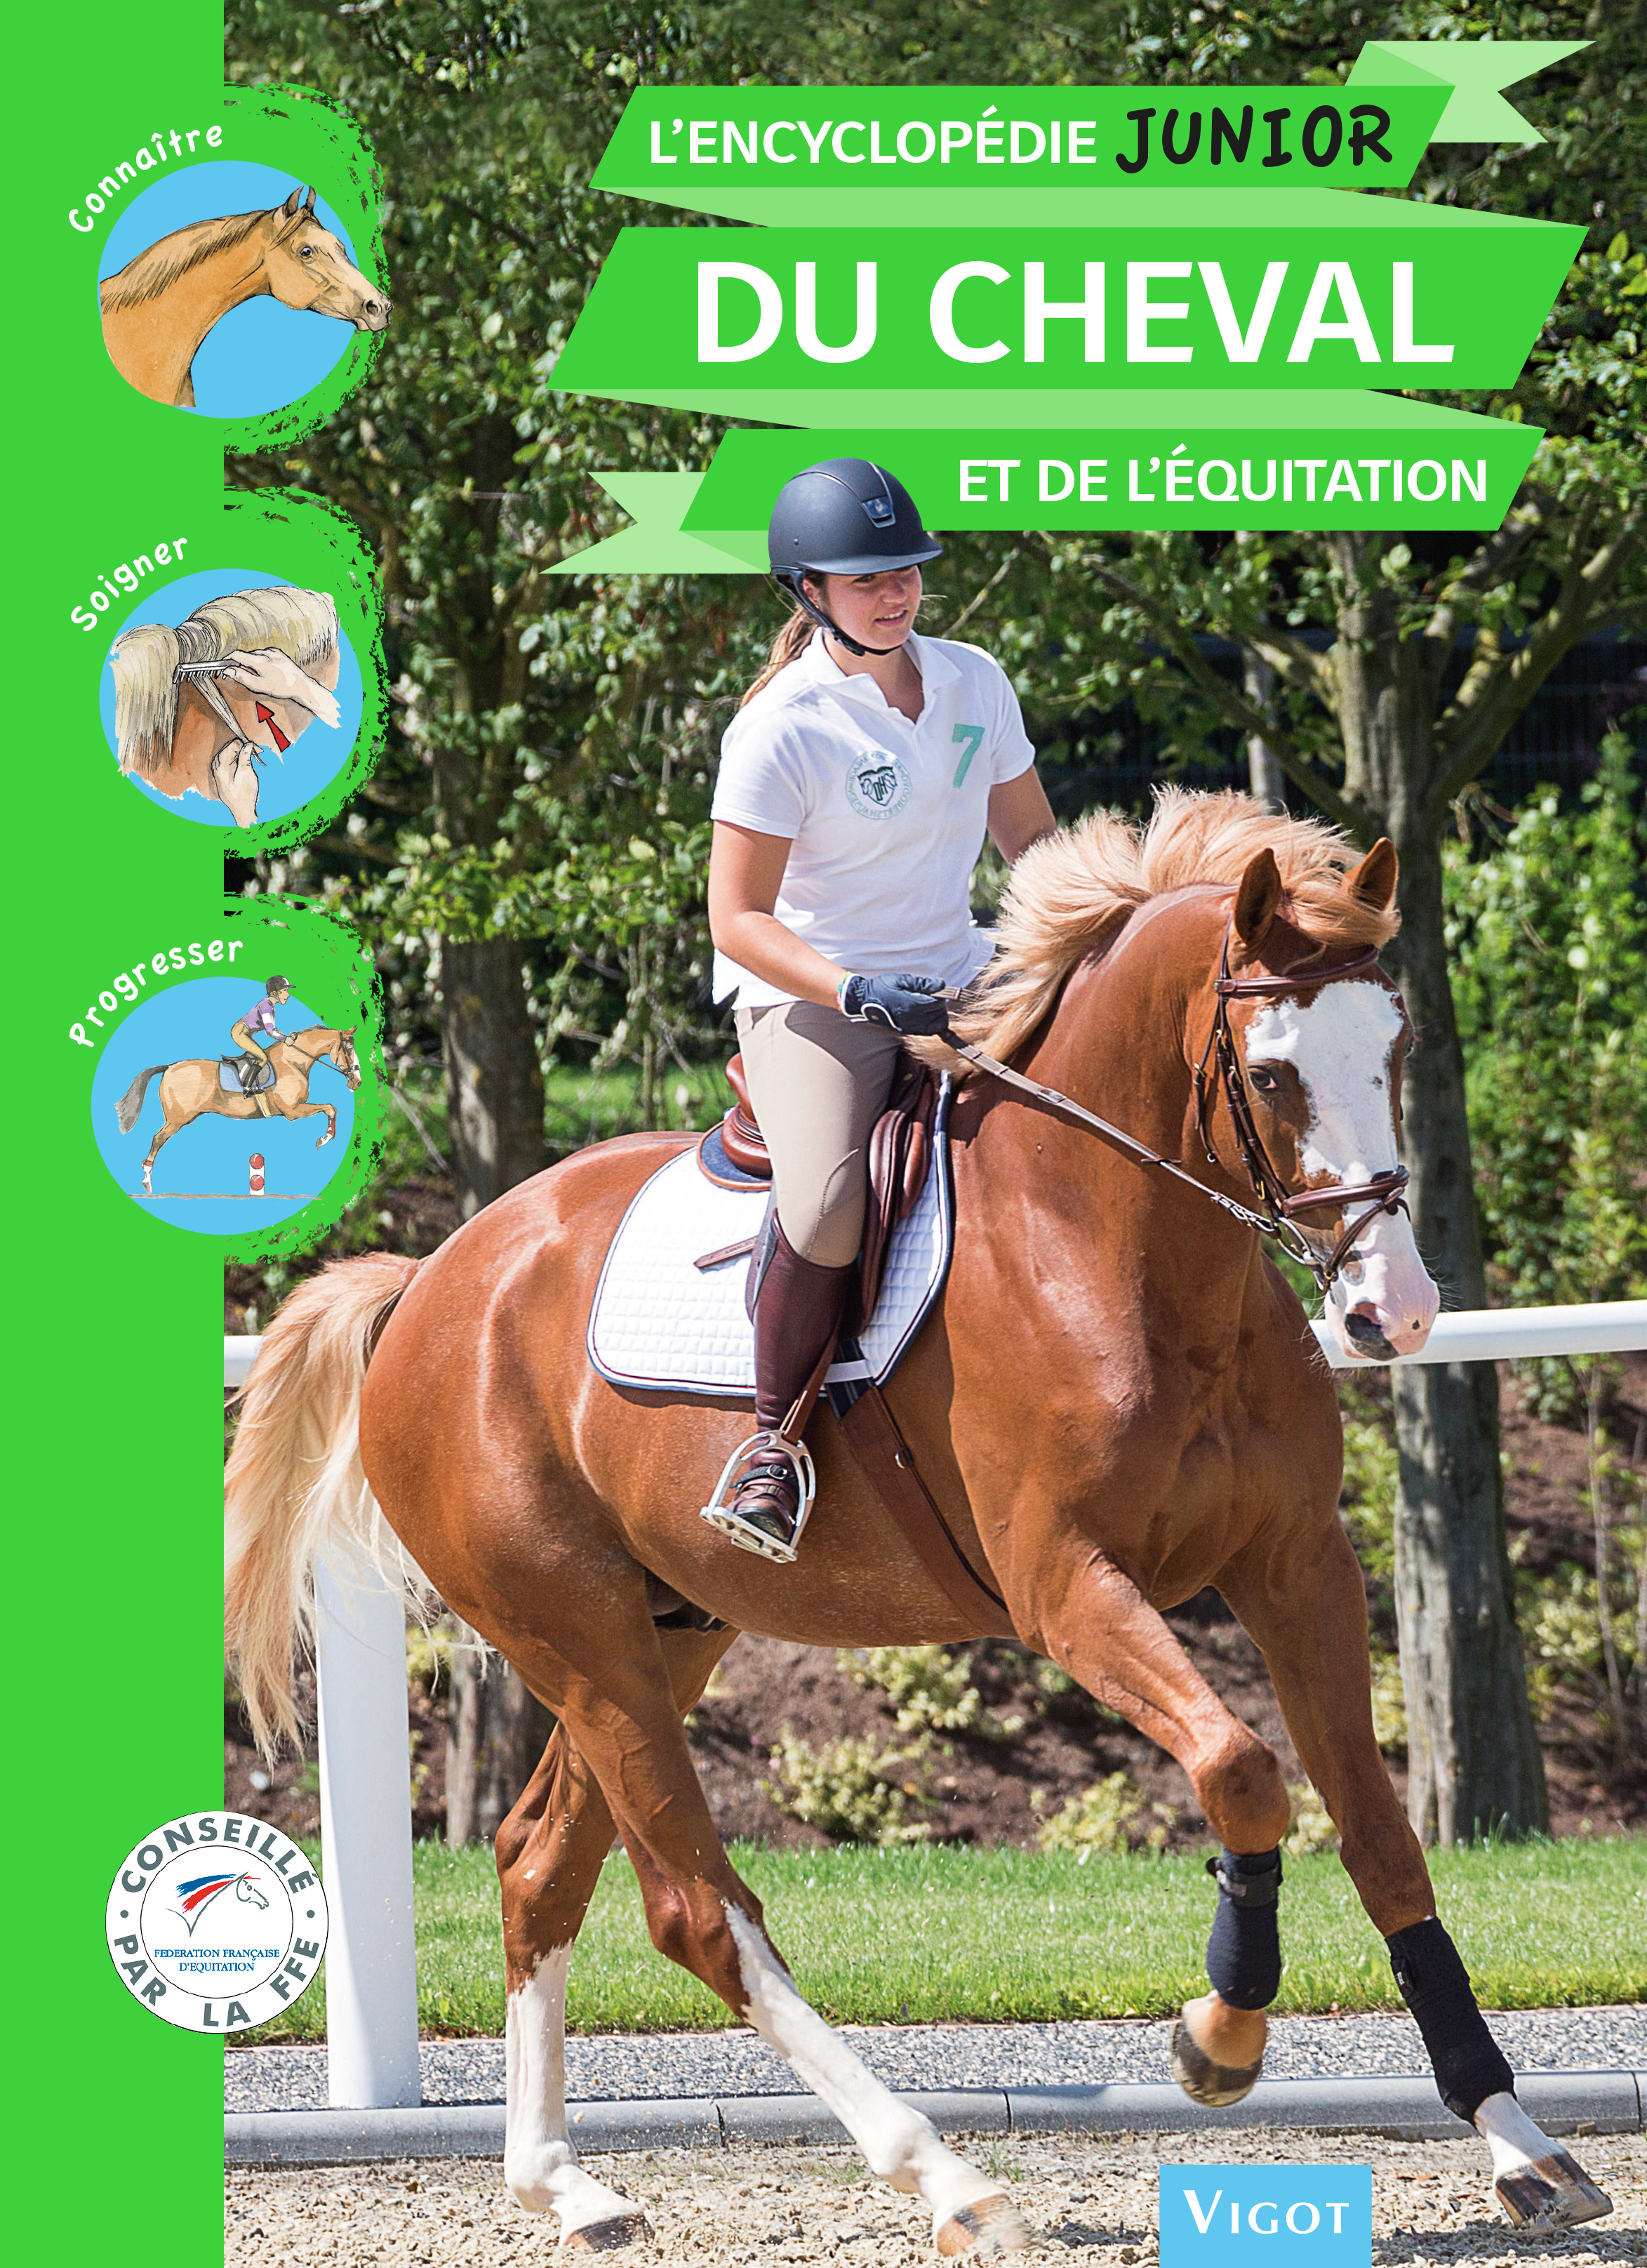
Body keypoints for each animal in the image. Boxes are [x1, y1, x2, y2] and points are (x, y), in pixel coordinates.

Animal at [116, 1025, 360, 1195]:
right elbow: (330, 1108)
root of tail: (169, 1066)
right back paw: (147, 1181)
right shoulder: (293, 1111)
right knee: (157, 1139)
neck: (294, 1062)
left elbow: (331, 1108)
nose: (356, 1082)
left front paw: (326, 1137)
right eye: (349, 1049)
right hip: (177, 1119)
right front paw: (324, 1139)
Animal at [225, 795, 1611, 2255]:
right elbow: (1239, 1770)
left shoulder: (1297, 1569)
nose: (1392, 1313)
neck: (1120, 1247)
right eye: (1275, 1074)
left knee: (542, 1863)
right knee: (698, 1910)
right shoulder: (1065, 1586)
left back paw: (565, 2185)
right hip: (580, 1640)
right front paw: (1217, 2036)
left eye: (1395, 1047)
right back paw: (940, 2173)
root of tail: (430, 1282)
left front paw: (1518, 2142)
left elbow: (1380, 1833)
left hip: (667, 1632)